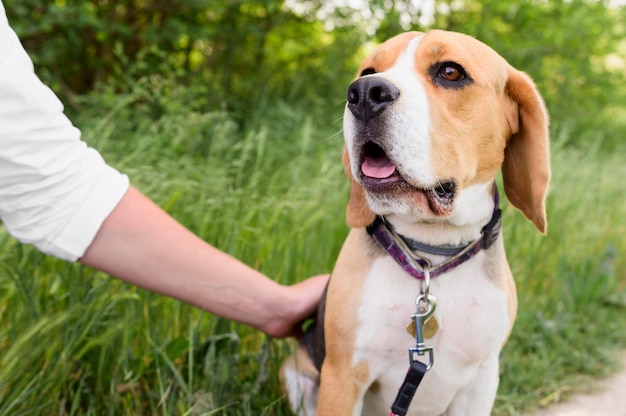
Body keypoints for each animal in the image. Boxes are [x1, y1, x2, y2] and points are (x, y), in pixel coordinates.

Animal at [280, 30, 548, 416]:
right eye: (368, 70)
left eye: (450, 72)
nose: (364, 93)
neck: (431, 255)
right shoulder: (343, 376)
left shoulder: (482, 381)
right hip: (295, 376)